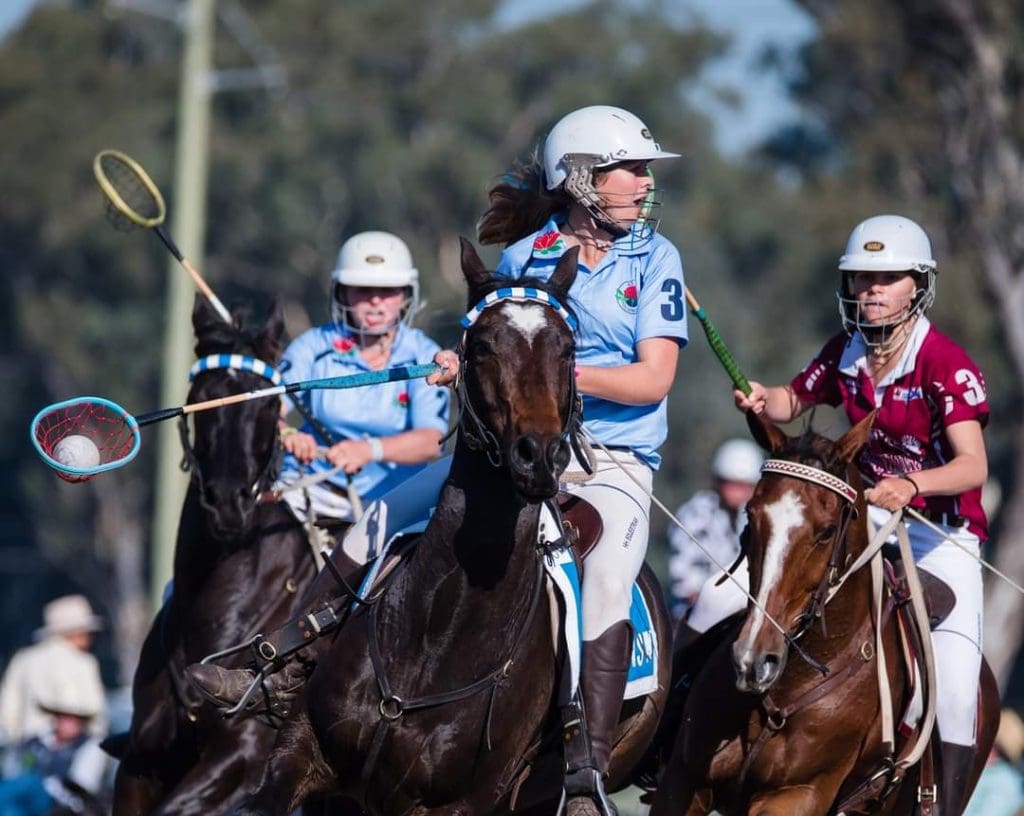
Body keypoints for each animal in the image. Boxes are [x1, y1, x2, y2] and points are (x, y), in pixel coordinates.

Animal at [232, 240, 671, 814]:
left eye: (568, 349)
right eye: (481, 345)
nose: (539, 458)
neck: (440, 631)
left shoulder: (460, 802)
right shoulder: (304, 751)